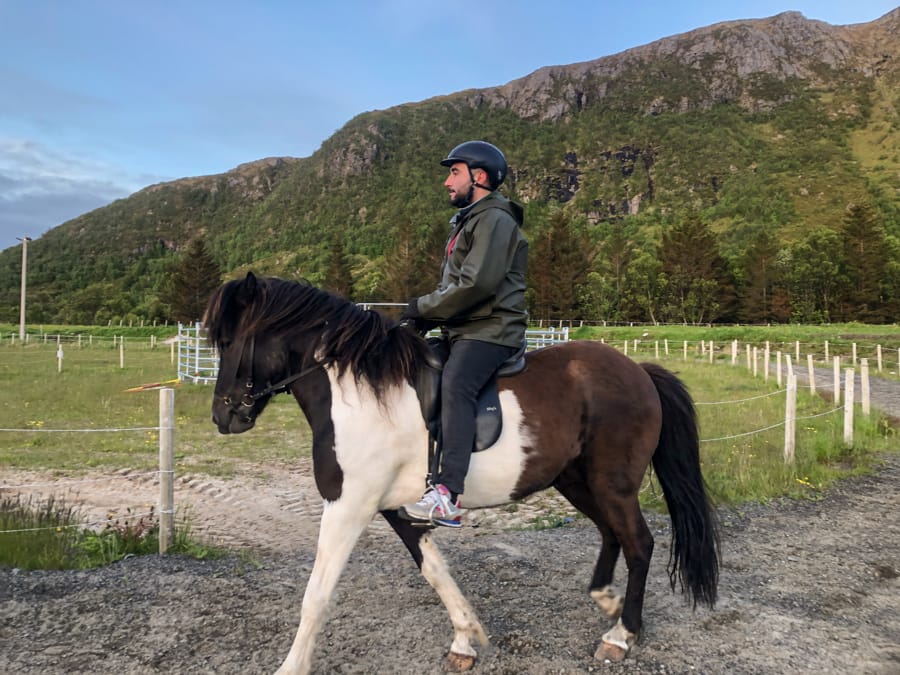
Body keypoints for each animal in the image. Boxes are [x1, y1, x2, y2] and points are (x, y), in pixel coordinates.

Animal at [204, 274, 716, 675]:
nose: (223, 417)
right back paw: (606, 601)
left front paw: (291, 666)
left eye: (228, 342)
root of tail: (639, 370)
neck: (360, 396)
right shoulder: (397, 508)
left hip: (613, 484)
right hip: (575, 480)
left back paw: (622, 634)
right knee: (612, 535)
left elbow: (317, 593)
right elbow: (435, 572)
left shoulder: (348, 506)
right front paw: (467, 639)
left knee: (639, 544)